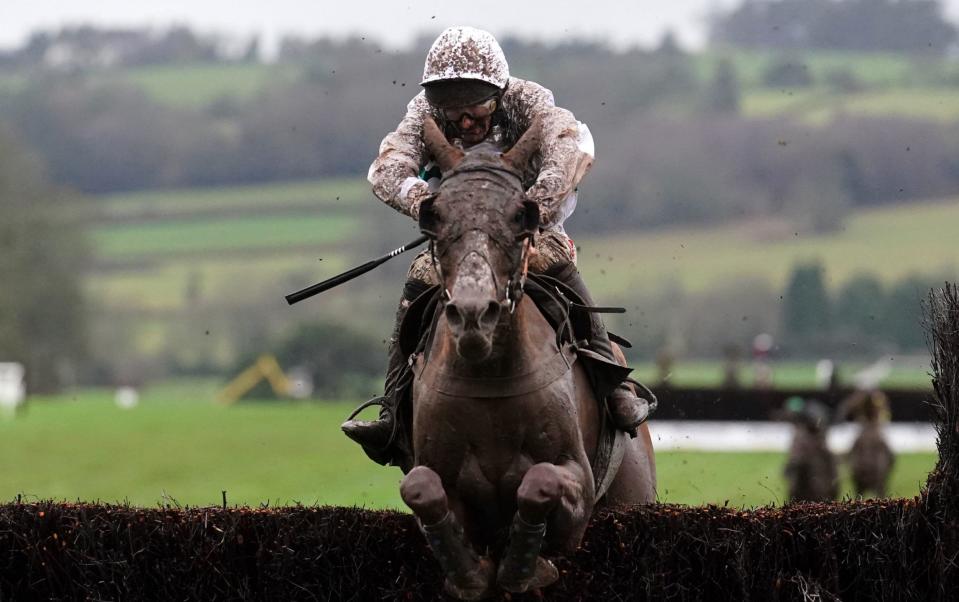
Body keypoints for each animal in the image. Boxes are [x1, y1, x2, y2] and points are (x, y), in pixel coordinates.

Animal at [398, 115, 660, 596]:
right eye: (436, 216)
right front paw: (470, 574)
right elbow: (421, 488)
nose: (473, 314)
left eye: (520, 214)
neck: (487, 373)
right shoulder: (438, 474)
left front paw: (524, 564)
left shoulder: (577, 479)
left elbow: (539, 483)